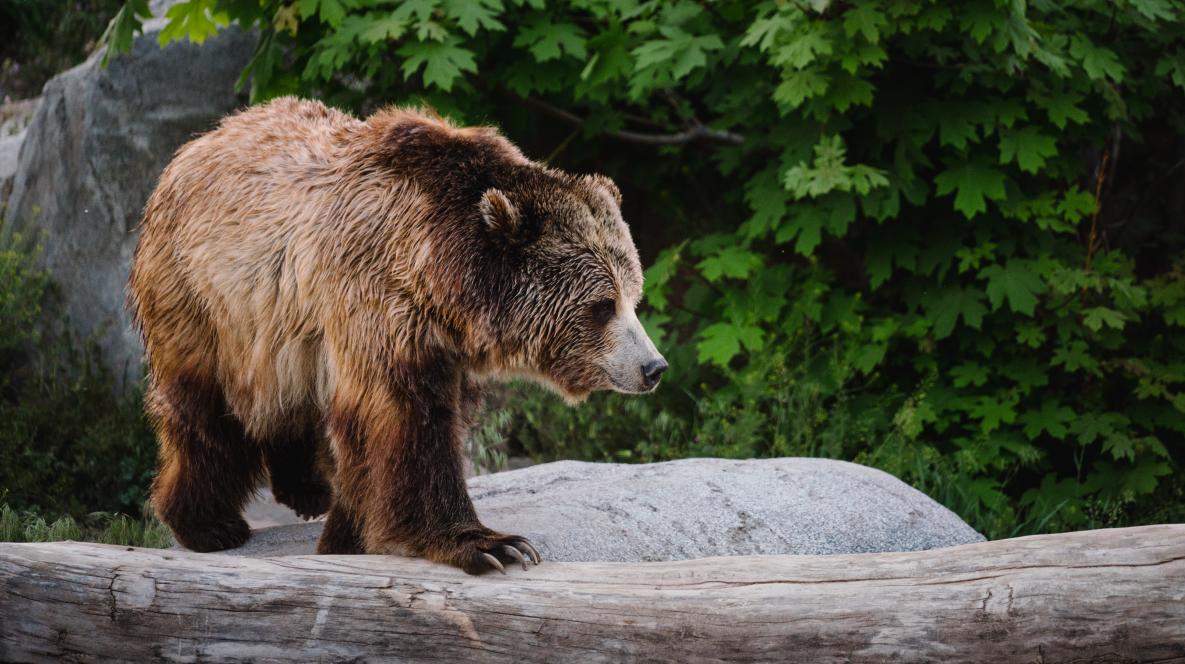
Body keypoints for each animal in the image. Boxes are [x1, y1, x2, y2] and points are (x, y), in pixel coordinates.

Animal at [132, 96, 668, 573]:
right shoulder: (380, 299)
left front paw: (346, 535)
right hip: (203, 295)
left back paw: (308, 489)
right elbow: (409, 419)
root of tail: (200, 142)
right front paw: (491, 545)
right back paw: (208, 524)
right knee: (204, 408)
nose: (653, 367)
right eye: (602, 306)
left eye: (634, 295)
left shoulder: (442, 340)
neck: (442, 267)